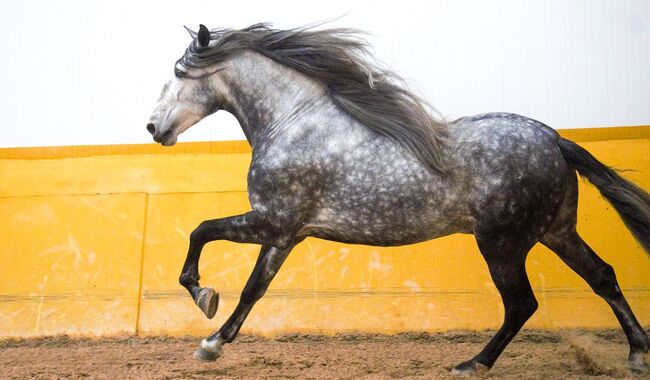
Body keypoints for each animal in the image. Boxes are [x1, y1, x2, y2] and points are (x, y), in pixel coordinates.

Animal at [147, 23, 648, 374]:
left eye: (177, 73)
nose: (154, 127)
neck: (293, 123)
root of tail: (554, 140)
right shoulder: (286, 234)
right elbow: (255, 288)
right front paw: (212, 343)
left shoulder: (272, 220)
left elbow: (202, 232)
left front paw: (203, 297)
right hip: (556, 232)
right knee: (603, 277)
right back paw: (636, 354)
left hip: (502, 243)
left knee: (522, 304)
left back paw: (472, 364)